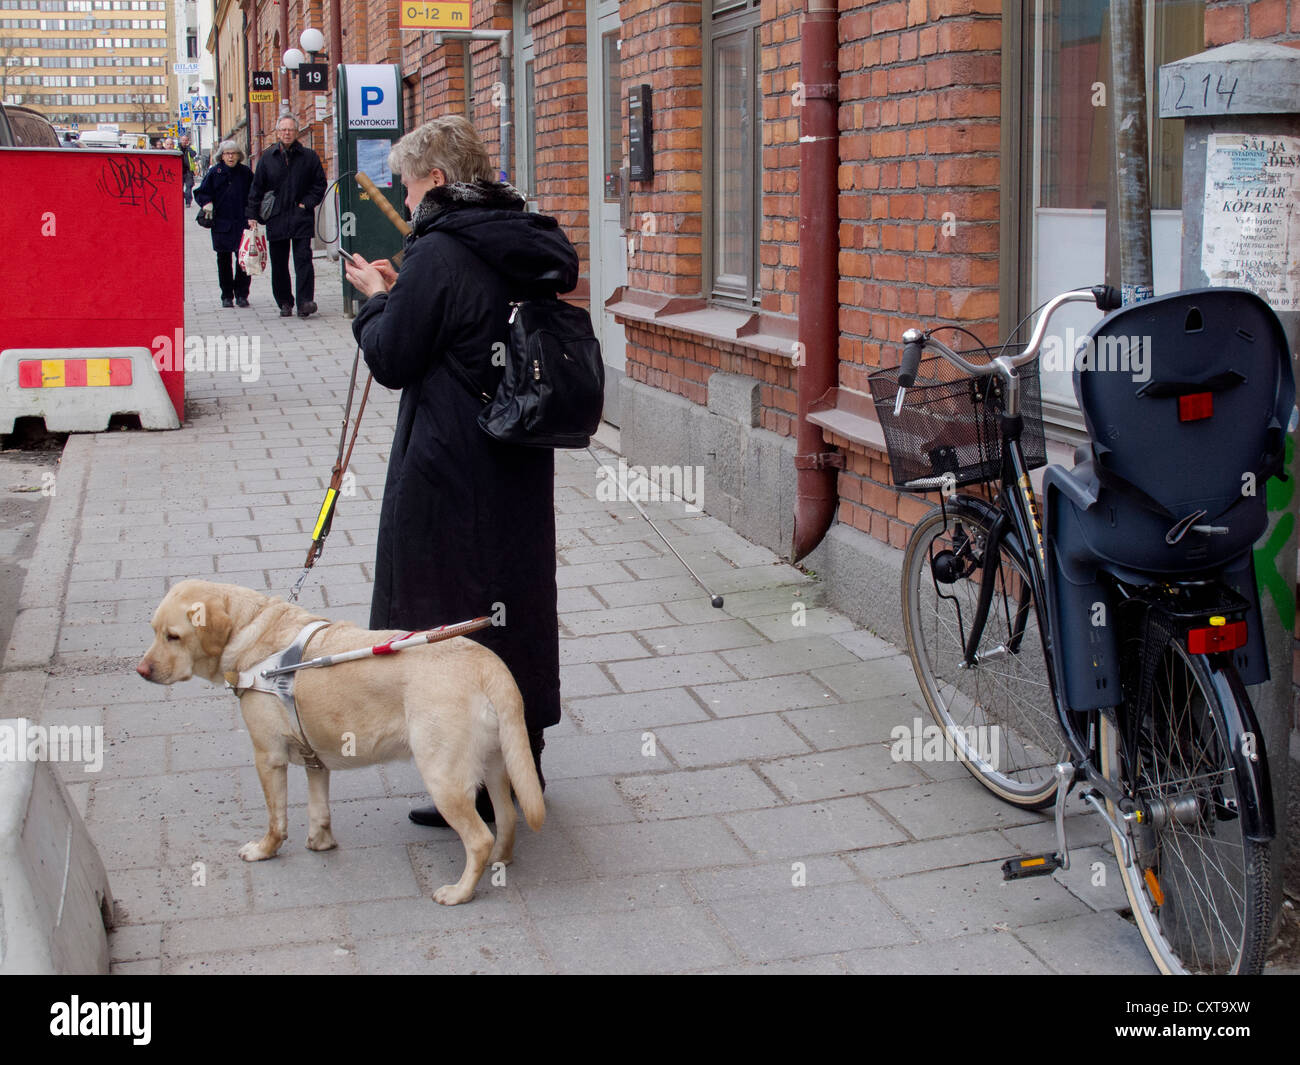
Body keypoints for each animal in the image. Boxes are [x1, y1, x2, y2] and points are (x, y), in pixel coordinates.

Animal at [139, 579, 546, 905]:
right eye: (154, 631)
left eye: (173, 636)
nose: (141, 671)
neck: (253, 631)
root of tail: (488, 665)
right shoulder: (314, 759)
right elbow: (319, 809)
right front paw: (321, 843)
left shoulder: (268, 756)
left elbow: (276, 819)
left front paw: (264, 850)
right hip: (496, 765)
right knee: (506, 817)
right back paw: (499, 861)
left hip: (442, 777)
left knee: (478, 838)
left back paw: (460, 892)